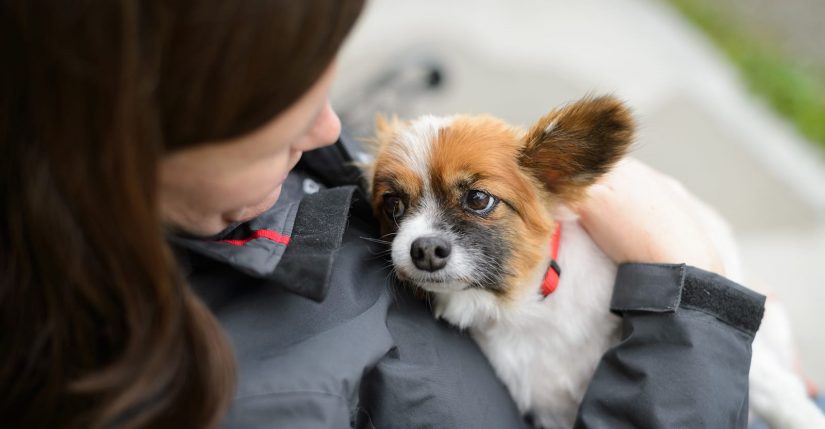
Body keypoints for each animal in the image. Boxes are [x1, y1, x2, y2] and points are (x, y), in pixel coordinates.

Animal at [366, 94, 824, 428]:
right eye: (392, 206)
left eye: (478, 199)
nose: (423, 249)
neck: (526, 309)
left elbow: (772, 387)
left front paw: (802, 416)